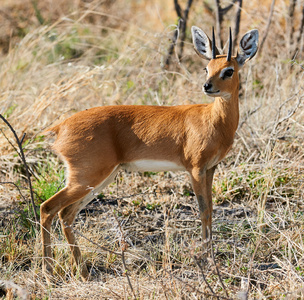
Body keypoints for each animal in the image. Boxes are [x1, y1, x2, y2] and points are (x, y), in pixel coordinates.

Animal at [41, 26, 258, 282]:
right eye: (207, 68)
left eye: (229, 70)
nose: (207, 86)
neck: (214, 121)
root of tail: (60, 127)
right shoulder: (195, 169)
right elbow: (203, 210)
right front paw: (207, 260)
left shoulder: (210, 168)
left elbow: (211, 209)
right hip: (86, 178)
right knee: (48, 208)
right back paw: (49, 272)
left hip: (99, 179)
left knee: (66, 214)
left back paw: (83, 273)